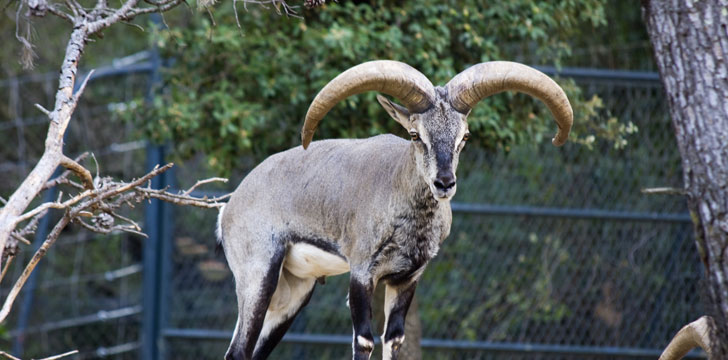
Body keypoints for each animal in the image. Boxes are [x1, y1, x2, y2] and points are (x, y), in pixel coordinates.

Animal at [216, 60, 576, 358]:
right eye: (416, 134)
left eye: (464, 137)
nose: (444, 183)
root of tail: (230, 207)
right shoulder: (362, 272)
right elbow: (364, 340)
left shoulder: (406, 279)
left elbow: (394, 339)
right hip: (258, 273)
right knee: (238, 350)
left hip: (293, 292)